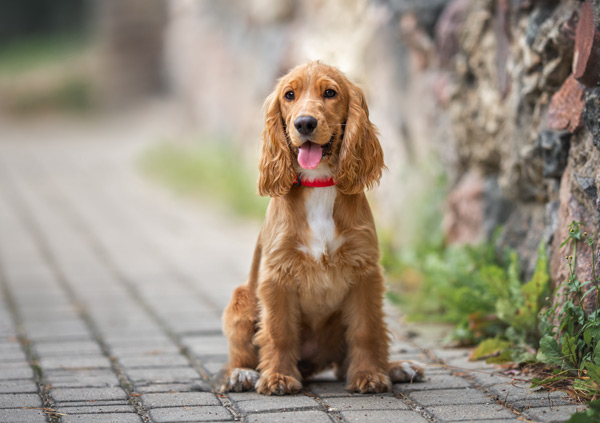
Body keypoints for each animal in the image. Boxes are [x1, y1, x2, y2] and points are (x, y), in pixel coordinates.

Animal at [220, 61, 422, 396]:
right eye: (289, 95)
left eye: (330, 93)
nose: (304, 123)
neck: (319, 183)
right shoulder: (276, 275)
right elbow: (279, 331)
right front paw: (277, 377)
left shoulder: (365, 272)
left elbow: (367, 330)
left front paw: (369, 374)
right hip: (242, 298)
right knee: (240, 353)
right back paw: (242, 374)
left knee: (351, 356)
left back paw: (395, 367)